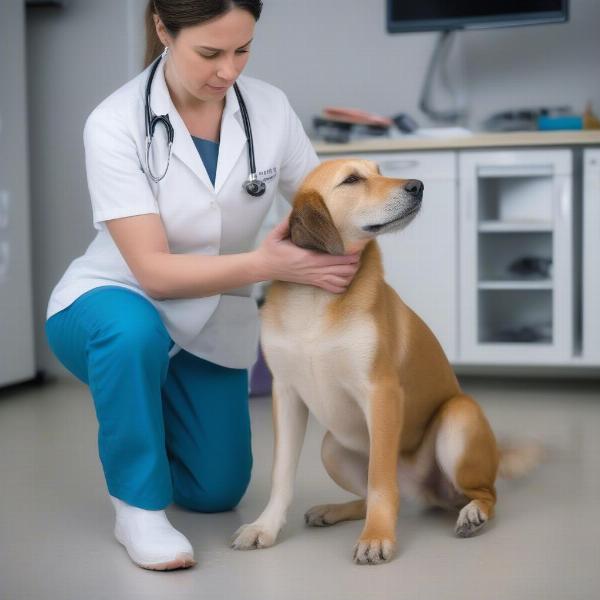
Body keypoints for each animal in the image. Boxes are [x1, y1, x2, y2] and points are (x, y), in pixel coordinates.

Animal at [231, 158, 544, 564]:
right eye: (352, 179)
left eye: (379, 171)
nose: (418, 185)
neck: (315, 301)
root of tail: (422, 492)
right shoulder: (286, 396)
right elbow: (282, 474)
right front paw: (265, 526)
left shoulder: (380, 394)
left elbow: (380, 481)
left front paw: (377, 537)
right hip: (331, 447)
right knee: (370, 497)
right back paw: (332, 510)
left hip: (458, 418)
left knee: (484, 494)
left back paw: (472, 513)